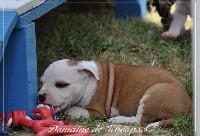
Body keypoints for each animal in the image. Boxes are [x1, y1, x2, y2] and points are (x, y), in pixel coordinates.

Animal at [38, 59, 193, 127]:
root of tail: (189, 103)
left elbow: (73, 109)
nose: (40, 96)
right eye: (41, 82)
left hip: (153, 94)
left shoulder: (97, 112)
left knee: (141, 121)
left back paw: (118, 119)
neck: (88, 81)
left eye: (61, 85)